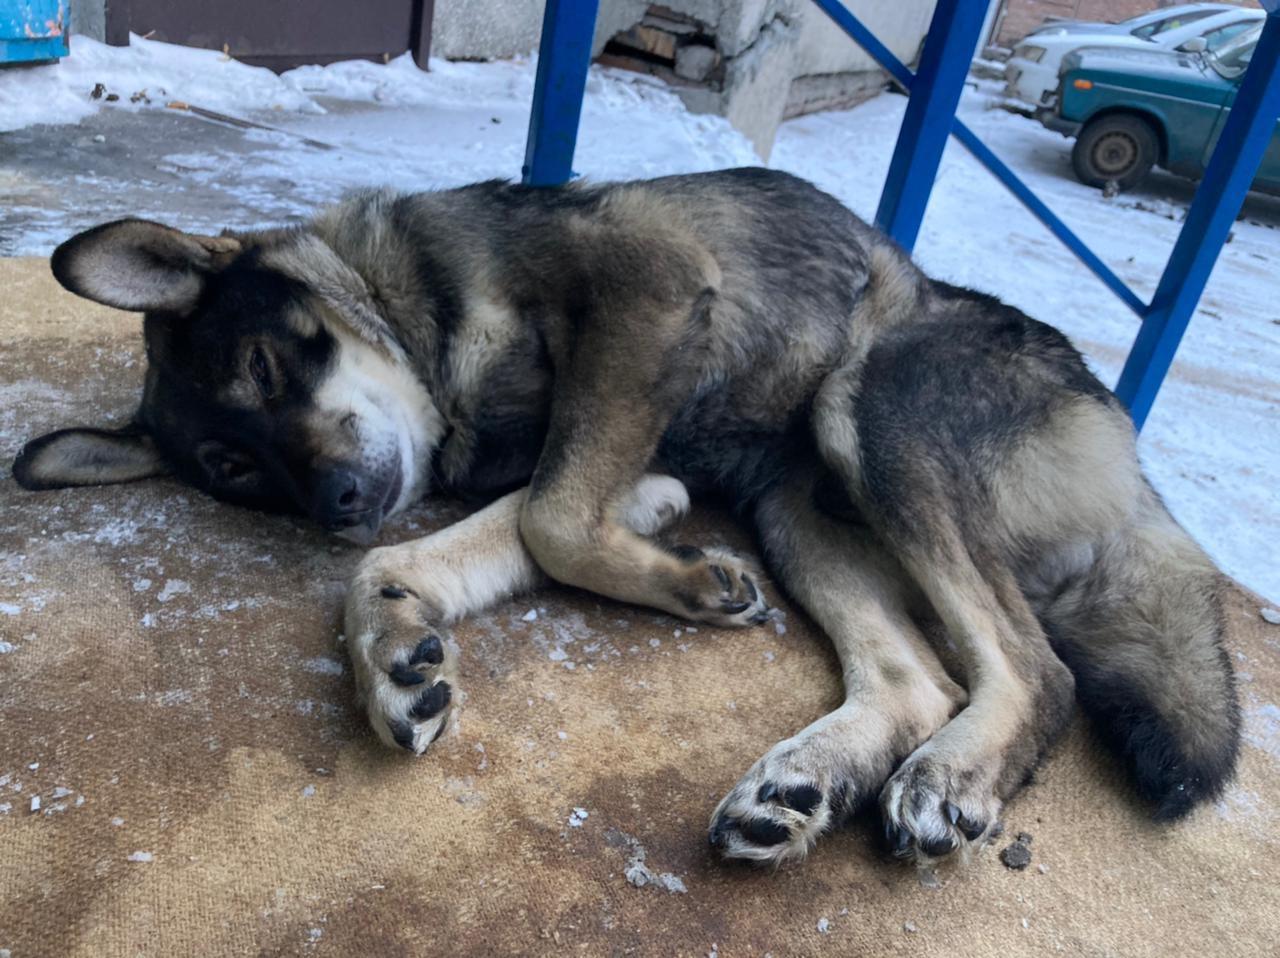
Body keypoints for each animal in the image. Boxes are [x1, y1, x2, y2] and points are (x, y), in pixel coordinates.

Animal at [15, 167, 1233, 865]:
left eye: (266, 367)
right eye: (237, 471)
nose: (338, 507)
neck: (416, 304)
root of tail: (1125, 459)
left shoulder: (643, 288)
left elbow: (555, 517)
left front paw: (681, 573)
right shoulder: (578, 445)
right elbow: (464, 546)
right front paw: (394, 655)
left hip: (870, 412)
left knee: (1037, 669)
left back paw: (956, 775)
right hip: (802, 507)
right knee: (916, 678)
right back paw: (801, 787)